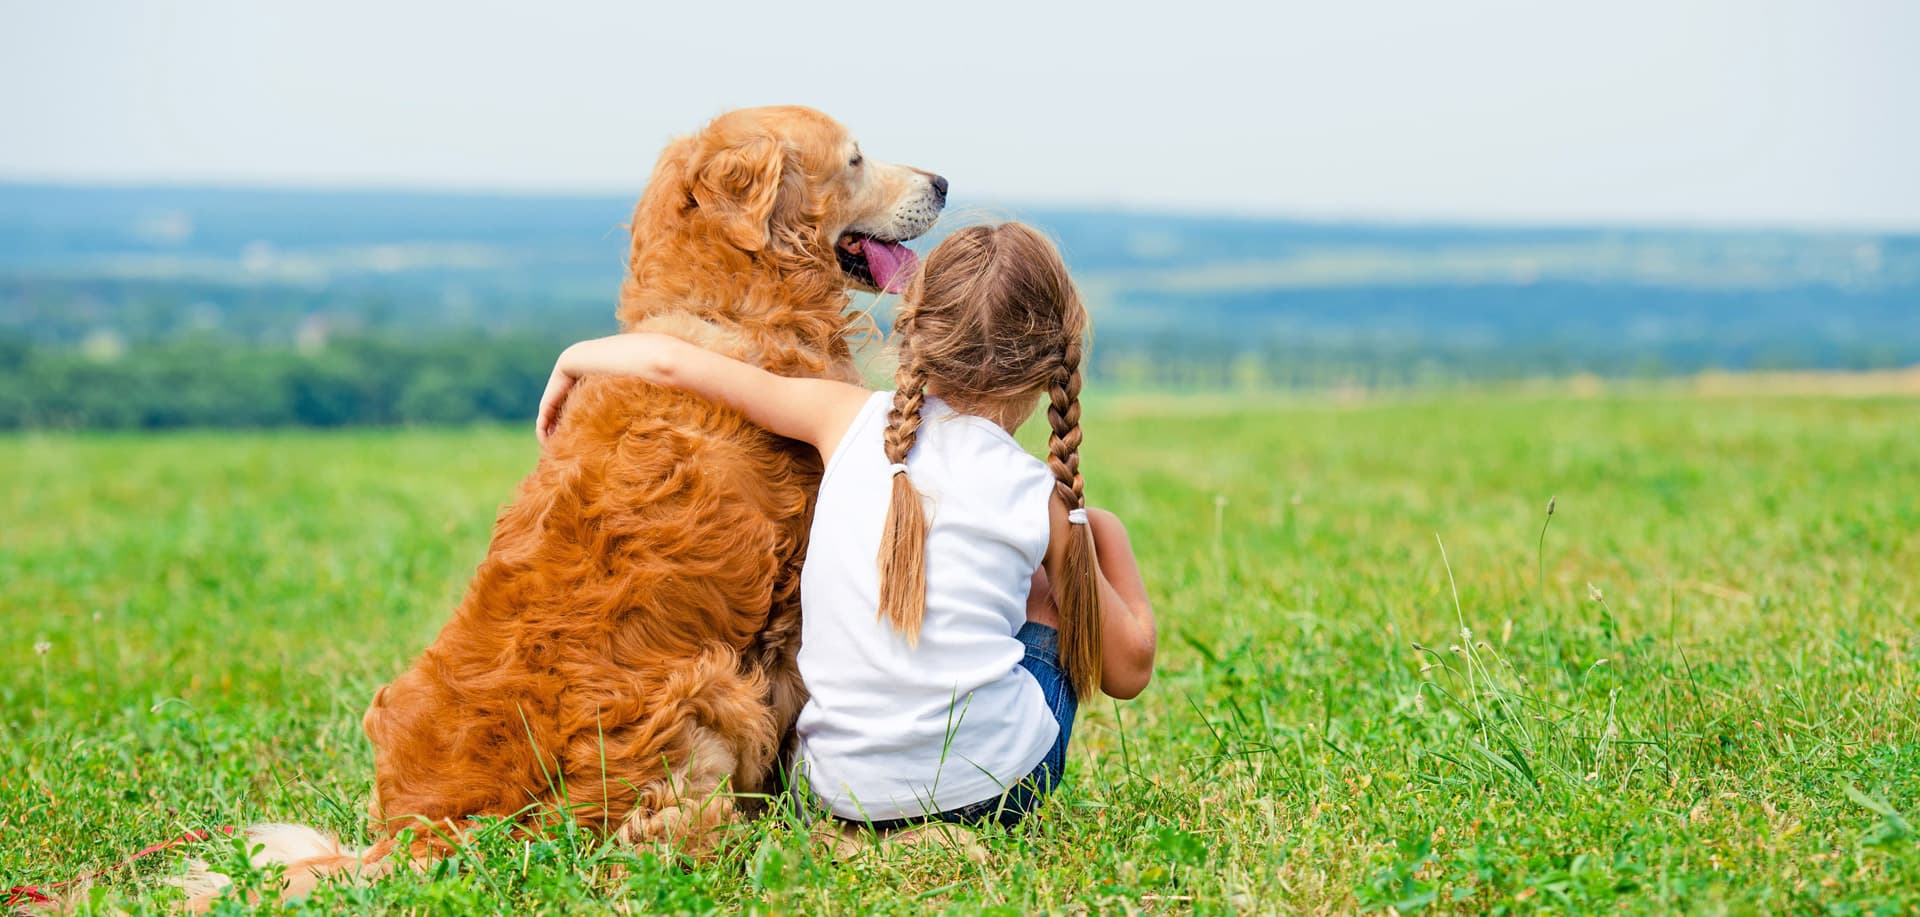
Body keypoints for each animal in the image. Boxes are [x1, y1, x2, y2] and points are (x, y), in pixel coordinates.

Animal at [176, 105, 940, 901]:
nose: (944, 183)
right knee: (676, 840)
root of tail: (425, 835)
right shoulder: (788, 611)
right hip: (708, 689)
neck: (726, 304)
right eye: (855, 159)